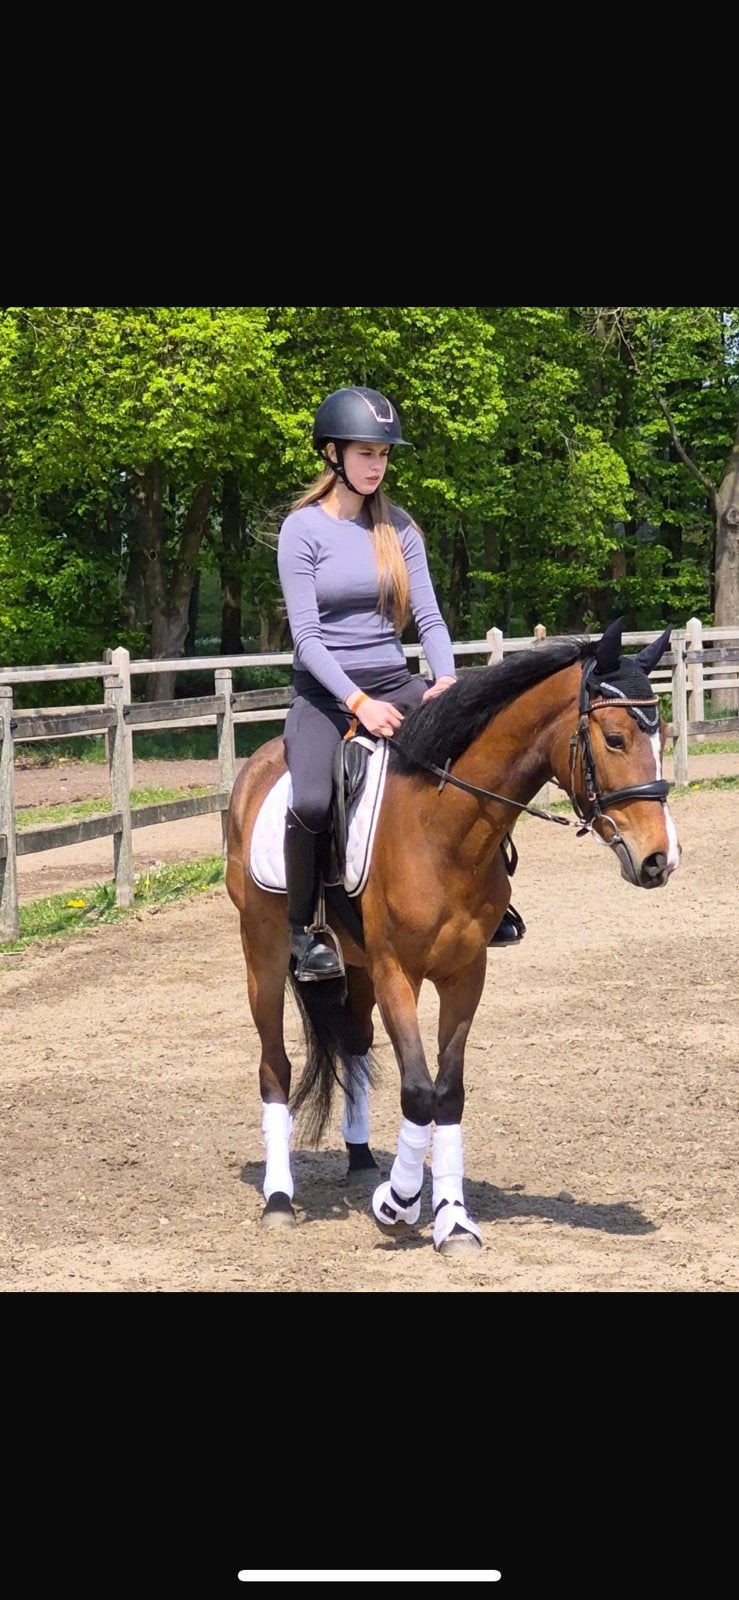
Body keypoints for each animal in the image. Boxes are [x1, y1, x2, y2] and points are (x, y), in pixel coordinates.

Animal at [225, 617, 681, 1255]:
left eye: (662, 735)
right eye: (614, 739)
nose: (660, 859)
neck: (444, 828)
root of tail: (259, 765)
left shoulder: (466, 973)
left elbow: (449, 1091)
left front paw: (452, 1218)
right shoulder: (398, 972)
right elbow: (419, 1090)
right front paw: (397, 1204)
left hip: (357, 967)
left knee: (356, 1045)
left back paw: (361, 1160)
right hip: (264, 955)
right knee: (275, 1067)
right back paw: (279, 1199)